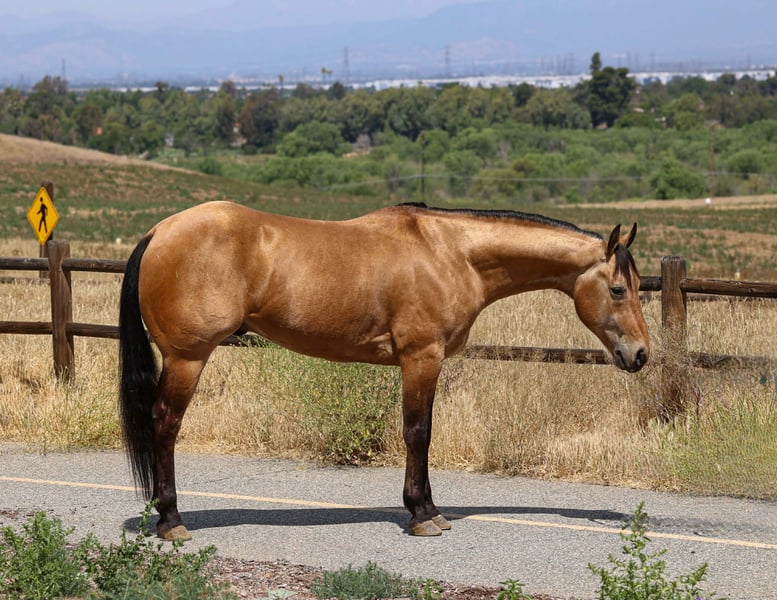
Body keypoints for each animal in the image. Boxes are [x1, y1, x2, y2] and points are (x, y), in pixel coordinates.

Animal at [119, 201, 649, 541]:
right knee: (164, 425)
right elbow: (418, 433)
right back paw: (171, 522)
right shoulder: (421, 358)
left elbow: (423, 432)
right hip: (188, 359)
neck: (451, 253)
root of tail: (159, 232)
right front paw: (422, 515)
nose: (641, 354)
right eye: (618, 289)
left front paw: (429, 509)